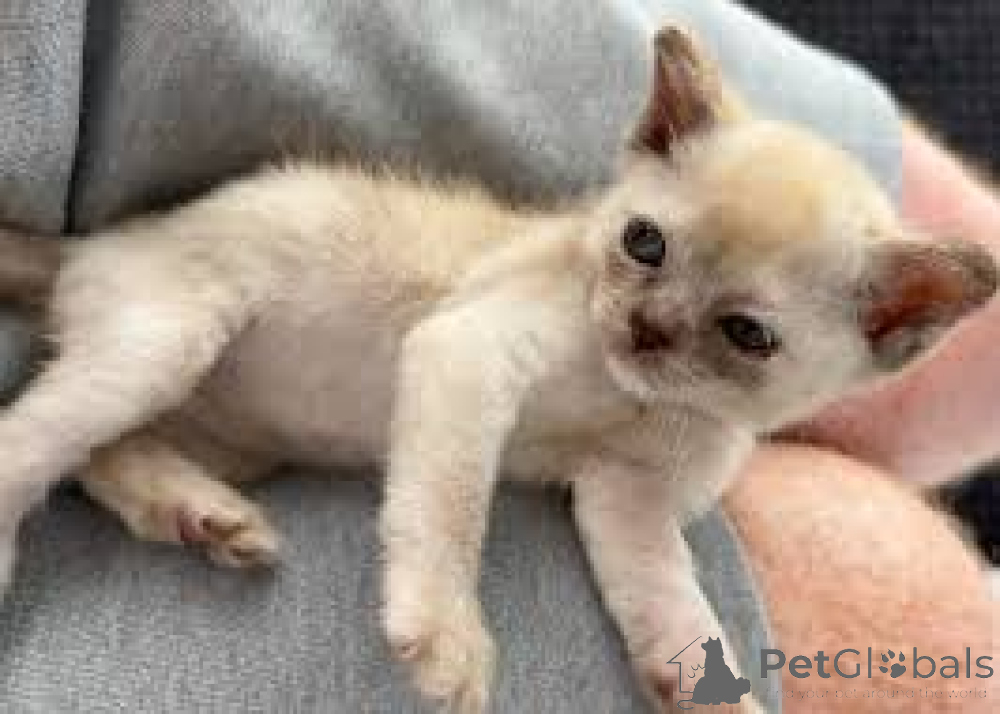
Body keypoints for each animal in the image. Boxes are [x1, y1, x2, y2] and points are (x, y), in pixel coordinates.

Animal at [0, 25, 993, 714]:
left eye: (746, 334)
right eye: (645, 244)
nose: (645, 327)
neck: (632, 397)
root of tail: (93, 244)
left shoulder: (626, 502)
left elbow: (676, 609)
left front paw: (709, 692)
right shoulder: (466, 355)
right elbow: (449, 510)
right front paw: (446, 637)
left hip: (216, 428)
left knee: (94, 457)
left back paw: (197, 514)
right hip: (165, 345)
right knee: (28, 438)